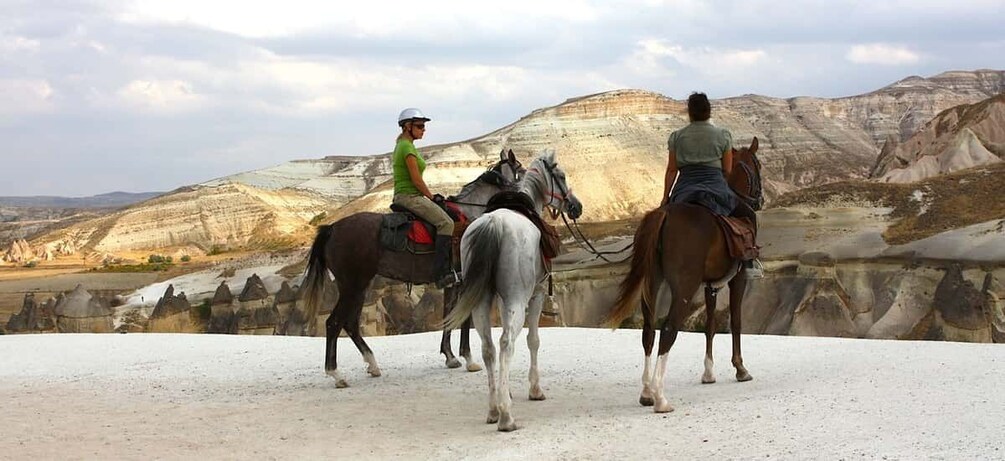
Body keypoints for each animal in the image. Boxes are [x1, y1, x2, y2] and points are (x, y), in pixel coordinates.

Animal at [299, 149, 526, 387]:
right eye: (521, 170)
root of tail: (332, 229)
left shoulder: (452, 282)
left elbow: (448, 316)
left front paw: (450, 356)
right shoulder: (468, 280)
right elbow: (464, 319)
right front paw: (469, 359)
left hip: (359, 286)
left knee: (350, 323)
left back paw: (372, 364)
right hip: (353, 285)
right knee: (334, 323)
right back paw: (336, 374)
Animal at [446, 148, 586, 433]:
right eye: (562, 176)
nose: (576, 206)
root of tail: (493, 225)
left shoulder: (500, 301)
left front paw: (506, 391)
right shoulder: (537, 294)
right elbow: (534, 340)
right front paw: (534, 390)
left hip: (481, 302)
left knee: (488, 347)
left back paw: (493, 409)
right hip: (517, 300)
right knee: (506, 343)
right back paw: (506, 417)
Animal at [603, 137, 759, 415]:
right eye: (758, 165)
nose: (759, 199)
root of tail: (664, 214)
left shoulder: (710, 285)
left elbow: (710, 324)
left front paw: (708, 372)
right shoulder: (737, 279)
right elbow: (736, 321)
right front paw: (740, 368)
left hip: (652, 282)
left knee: (648, 331)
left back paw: (646, 392)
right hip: (684, 286)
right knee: (668, 329)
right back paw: (660, 398)